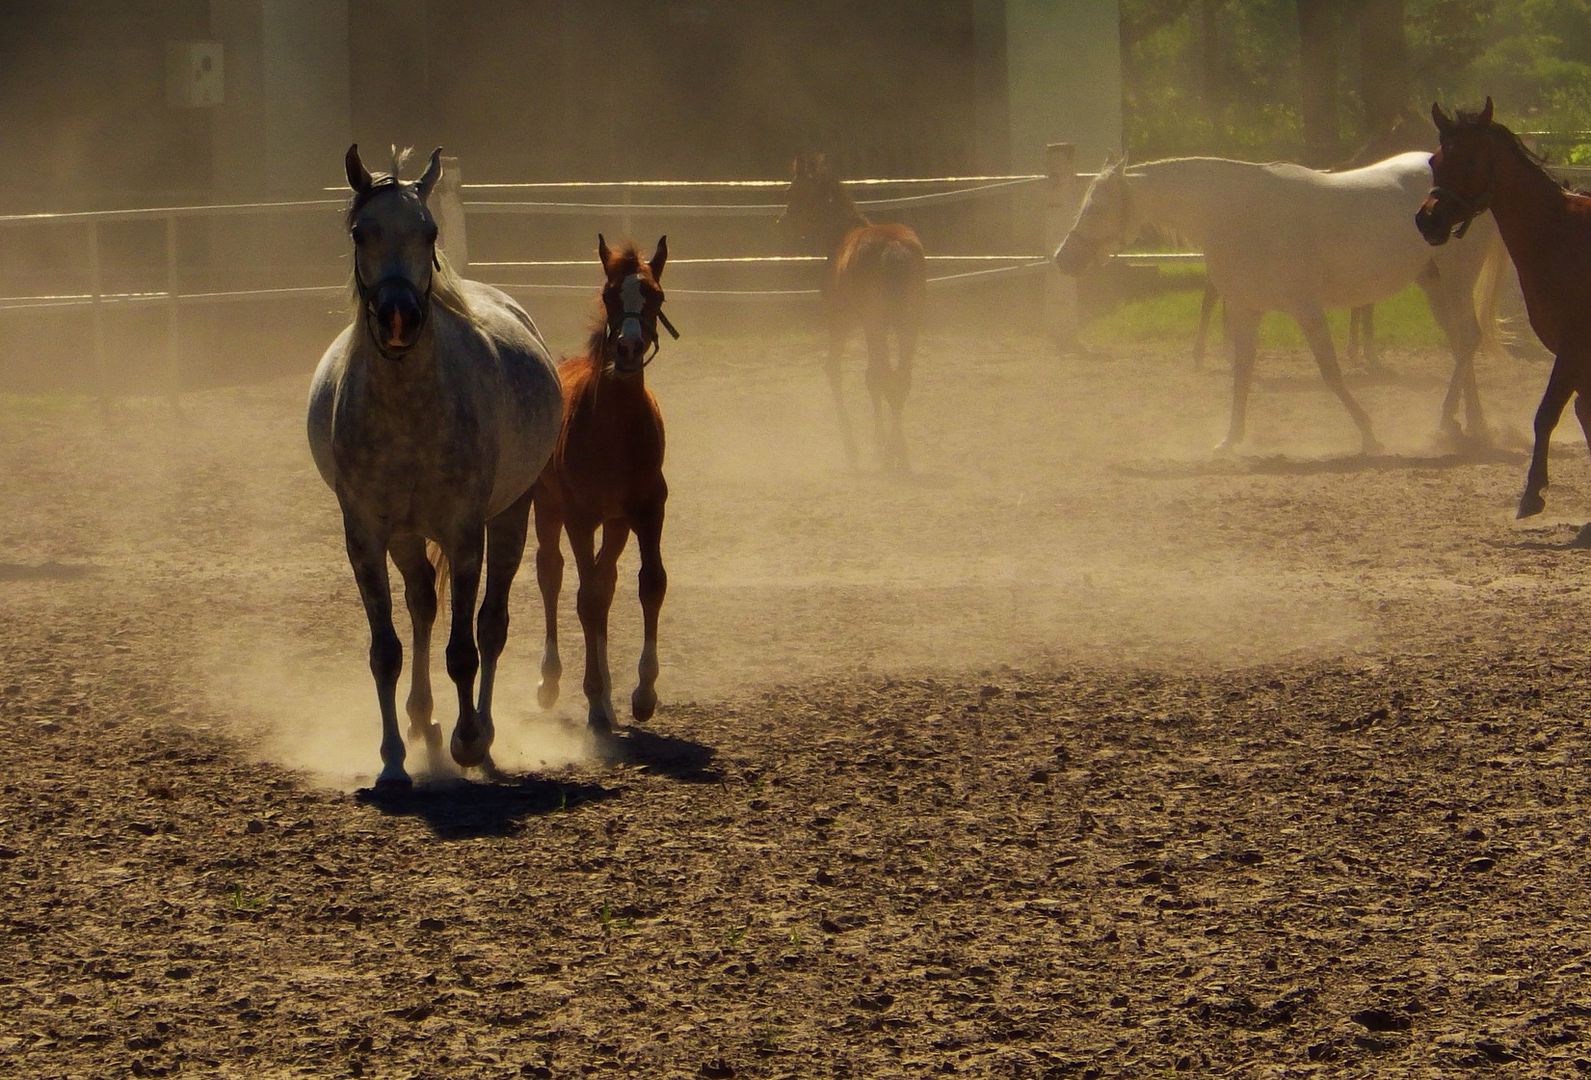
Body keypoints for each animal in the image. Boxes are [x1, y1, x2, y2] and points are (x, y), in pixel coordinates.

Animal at [776, 153, 929, 473]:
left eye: (790, 192)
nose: (782, 223)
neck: (841, 236)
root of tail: (894, 248)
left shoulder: (840, 320)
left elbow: (834, 370)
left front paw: (855, 449)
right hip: (908, 323)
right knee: (899, 379)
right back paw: (900, 452)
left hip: (875, 323)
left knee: (880, 376)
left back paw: (886, 451)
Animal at [1056, 151, 1501, 451]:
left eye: (1096, 207)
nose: (1063, 259)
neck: (1240, 215)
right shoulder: (1245, 309)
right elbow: (1241, 374)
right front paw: (1230, 440)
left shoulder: (1306, 309)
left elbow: (1330, 373)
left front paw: (1368, 433)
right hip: (1433, 283)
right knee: (1461, 345)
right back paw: (1470, 426)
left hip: (1457, 278)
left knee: (1467, 340)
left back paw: (1444, 425)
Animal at [1425, 99, 1591, 521]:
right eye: (1435, 160)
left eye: (1470, 160)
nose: (1426, 219)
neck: (1560, 233)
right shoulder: (1577, 356)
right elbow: (1583, 412)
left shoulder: (1573, 349)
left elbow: (1548, 414)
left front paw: (1532, 493)